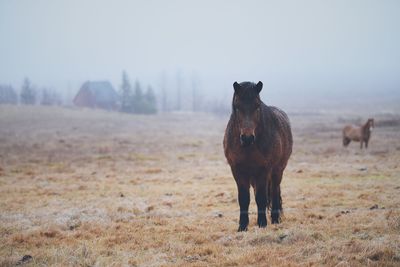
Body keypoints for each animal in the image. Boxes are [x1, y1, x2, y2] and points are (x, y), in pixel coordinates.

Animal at [223, 81, 292, 232]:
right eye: (237, 106)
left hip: (277, 171)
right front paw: (242, 226)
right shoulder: (238, 171)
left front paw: (262, 224)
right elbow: (244, 199)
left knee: (274, 191)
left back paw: (275, 219)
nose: (247, 137)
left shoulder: (263, 170)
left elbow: (261, 198)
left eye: (257, 106)